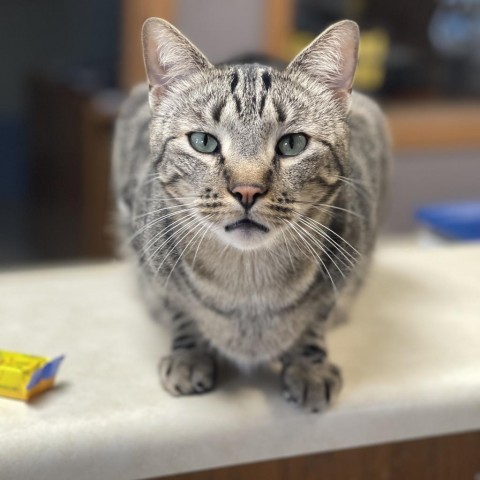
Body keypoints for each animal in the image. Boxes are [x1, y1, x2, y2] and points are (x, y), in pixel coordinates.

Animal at [112, 16, 390, 410]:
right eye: (203, 141)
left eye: (293, 144)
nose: (247, 190)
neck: (249, 283)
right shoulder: (152, 268)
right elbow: (180, 311)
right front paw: (189, 355)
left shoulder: (347, 266)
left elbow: (315, 319)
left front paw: (308, 366)